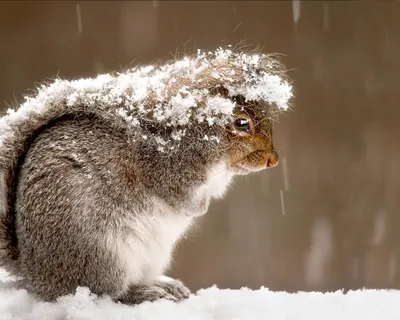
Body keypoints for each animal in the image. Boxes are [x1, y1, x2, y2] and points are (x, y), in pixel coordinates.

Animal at [0, 47, 292, 304]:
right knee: (108, 293)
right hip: (103, 253)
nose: (273, 160)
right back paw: (144, 293)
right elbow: (178, 197)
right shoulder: (166, 172)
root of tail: (36, 275)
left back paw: (165, 285)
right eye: (241, 123)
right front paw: (198, 208)